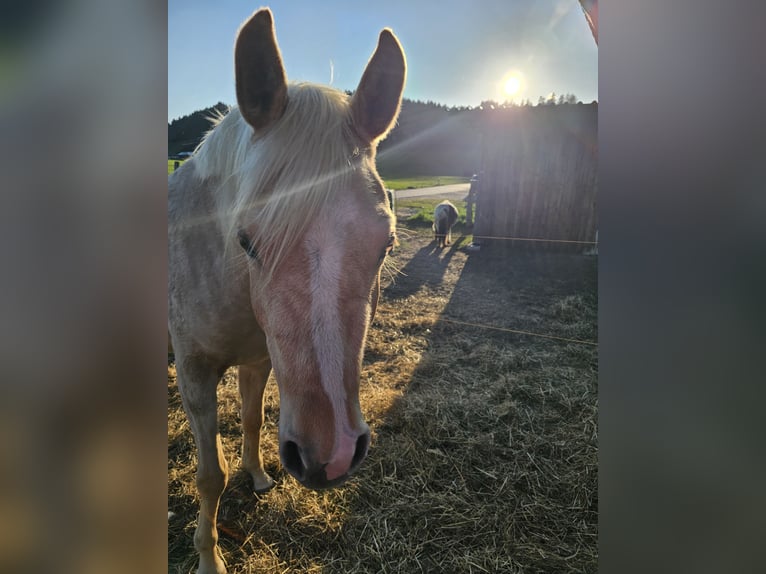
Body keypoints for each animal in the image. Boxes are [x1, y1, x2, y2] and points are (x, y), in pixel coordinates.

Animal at [168, 9, 406, 574]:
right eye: (246, 241)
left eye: (386, 244)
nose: (332, 455)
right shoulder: (193, 374)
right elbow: (209, 475)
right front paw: (209, 559)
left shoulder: (259, 360)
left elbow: (253, 421)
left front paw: (257, 477)